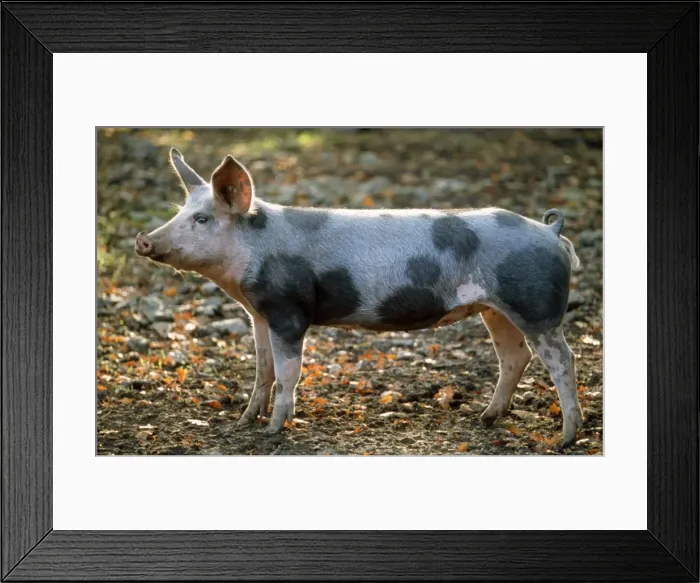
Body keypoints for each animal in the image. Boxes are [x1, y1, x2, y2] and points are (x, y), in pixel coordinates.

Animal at [135, 148, 584, 445]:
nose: (143, 240)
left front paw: (274, 431)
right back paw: (485, 420)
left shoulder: (288, 311)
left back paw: (564, 439)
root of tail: (552, 232)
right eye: (179, 212)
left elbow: (287, 373)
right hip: (496, 310)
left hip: (536, 306)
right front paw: (245, 422)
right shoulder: (258, 314)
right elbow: (262, 369)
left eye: (202, 218)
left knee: (562, 359)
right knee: (515, 357)